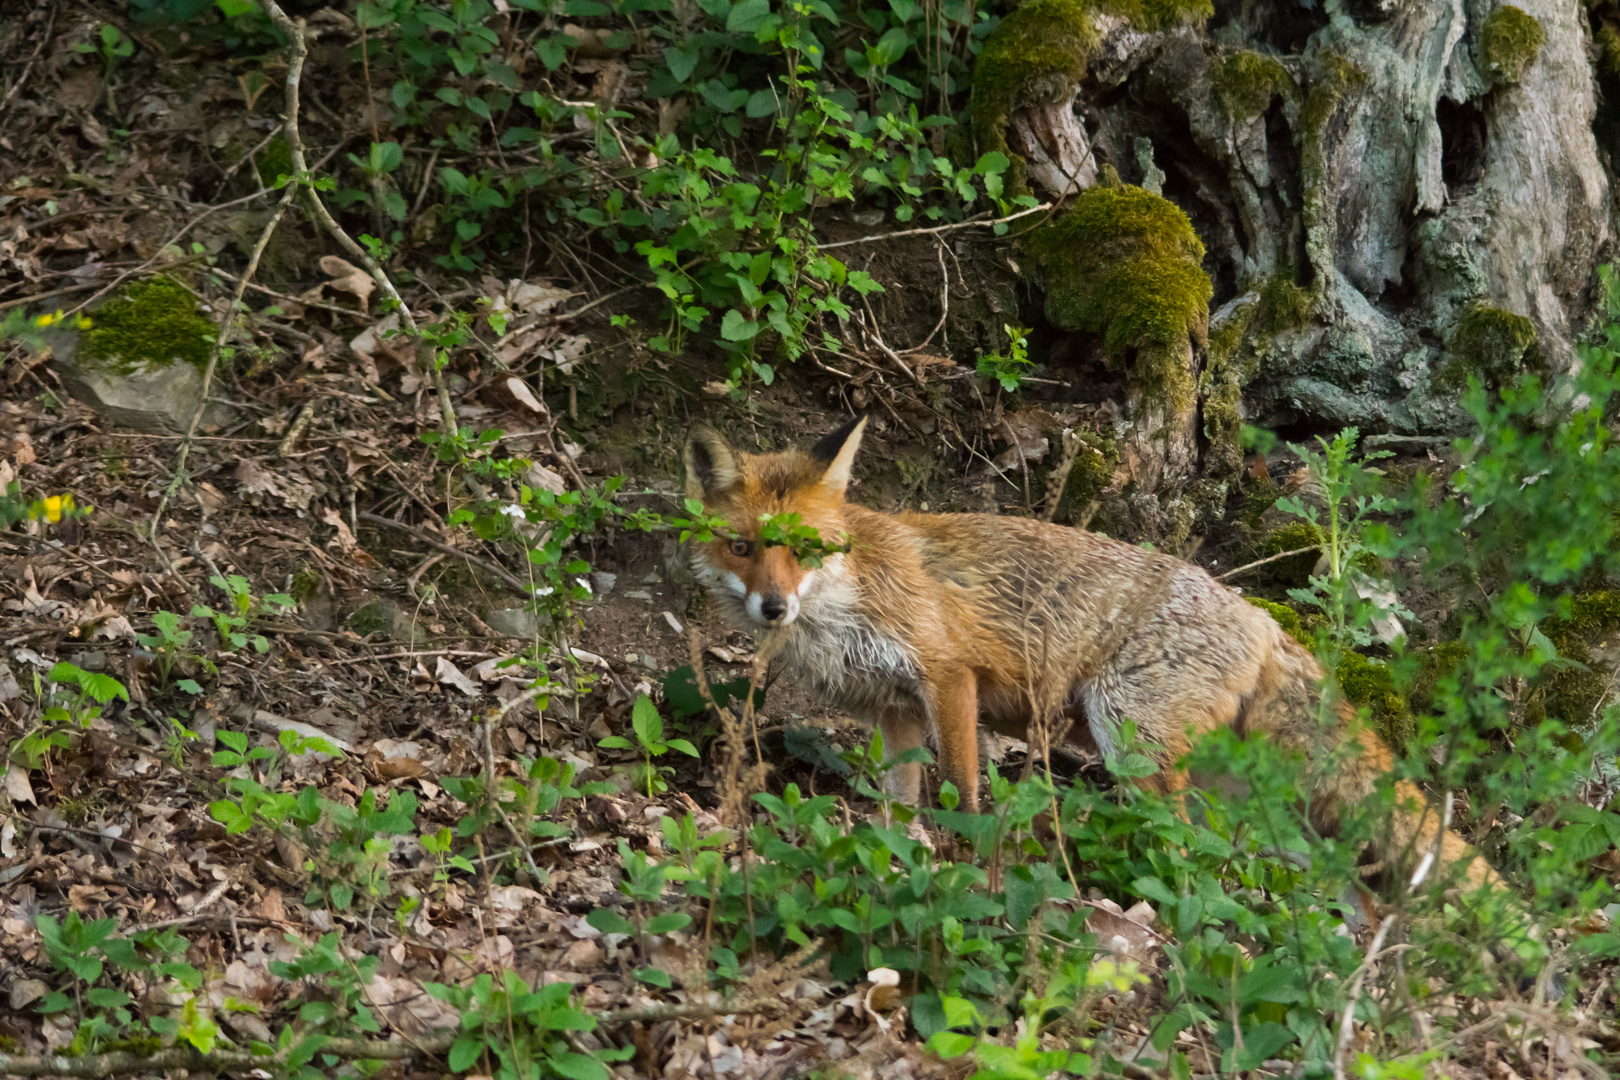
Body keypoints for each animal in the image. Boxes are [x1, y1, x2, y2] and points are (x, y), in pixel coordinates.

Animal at [680, 414, 1490, 887]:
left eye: (806, 549)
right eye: (744, 548)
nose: (774, 607)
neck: (842, 601)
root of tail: (1261, 617)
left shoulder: (949, 676)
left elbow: (963, 791)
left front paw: (967, 863)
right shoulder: (895, 711)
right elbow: (896, 808)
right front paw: (896, 859)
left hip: (1127, 734)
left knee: (1186, 844)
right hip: (1210, 775)